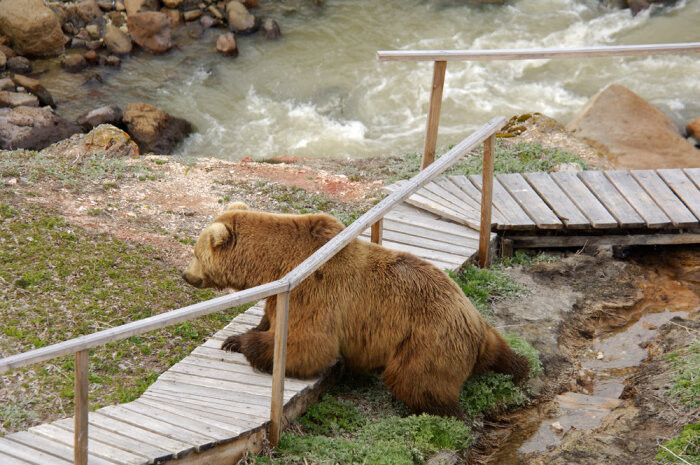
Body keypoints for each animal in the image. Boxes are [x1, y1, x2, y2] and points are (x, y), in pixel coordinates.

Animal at [183, 201, 528, 416]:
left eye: (196, 253)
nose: (186, 275)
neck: (278, 264)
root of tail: (471, 320)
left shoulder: (316, 291)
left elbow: (307, 346)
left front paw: (244, 343)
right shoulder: (285, 292)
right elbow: (272, 318)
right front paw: (235, 337)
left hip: (428, 338)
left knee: (416, 380)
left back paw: (439, 412)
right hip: (477, 331)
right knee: (502, 352)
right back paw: (519, 366)